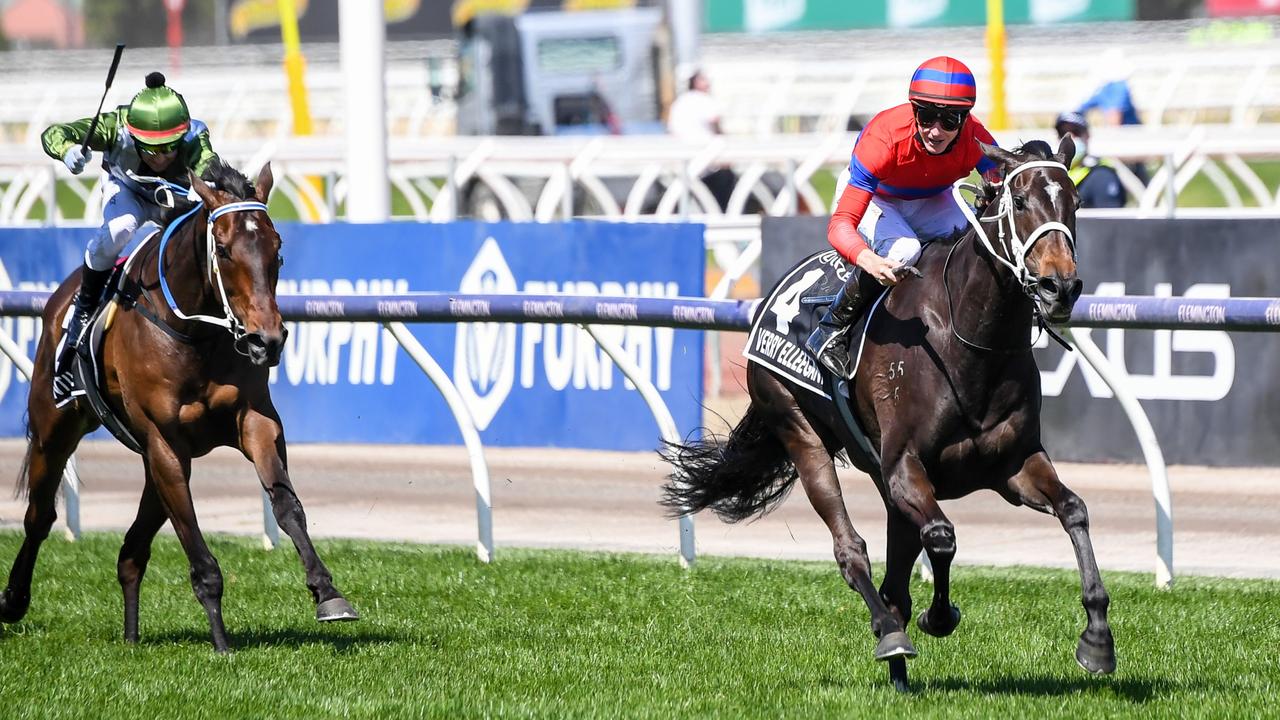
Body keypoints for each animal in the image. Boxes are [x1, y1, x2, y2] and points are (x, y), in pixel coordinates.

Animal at [1, 158, 355, 650]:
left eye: (277, 249)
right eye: (223, 249)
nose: (267, 340)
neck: (196, 330)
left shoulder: (254, 421)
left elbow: (287, 505)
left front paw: (328, 592)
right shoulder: (165, 442)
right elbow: (194, 540)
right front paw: (222, 642)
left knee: (131, 551)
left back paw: (131, 636)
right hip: (55, 428)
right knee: (40, 515)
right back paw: (13, 600)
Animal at [665, 135, 1116, 691]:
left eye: (1075, 201)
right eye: (1020, 201)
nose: (1061, 288)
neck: (969, 342)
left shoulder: (1012, 465)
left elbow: (1074, 509)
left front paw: (1097, 639)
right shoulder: (905, 466)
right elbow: (941, 538)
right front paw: (937, 617)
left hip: (884, 480)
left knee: (895, 573)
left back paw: (900, 671)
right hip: (800, 429)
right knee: (851, 549)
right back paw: (890, 634)